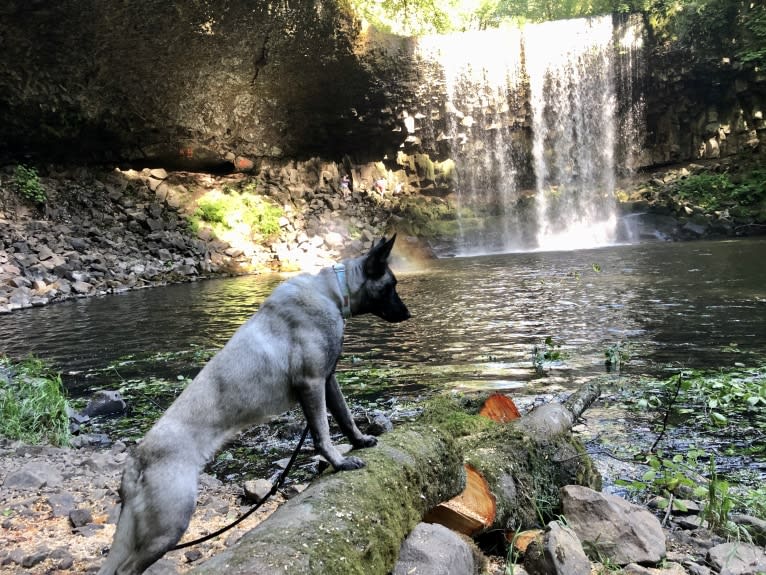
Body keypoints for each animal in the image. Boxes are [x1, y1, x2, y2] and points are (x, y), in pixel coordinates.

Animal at [100, 235, 414, 575]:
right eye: (392, 285)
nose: (408, 315)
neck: (330, 291)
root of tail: (137, 458)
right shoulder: (311, 383)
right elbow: (322, 432)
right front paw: (339, 462)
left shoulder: (327, 381)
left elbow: (344, 417)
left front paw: (359, 441)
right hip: (169, 524)